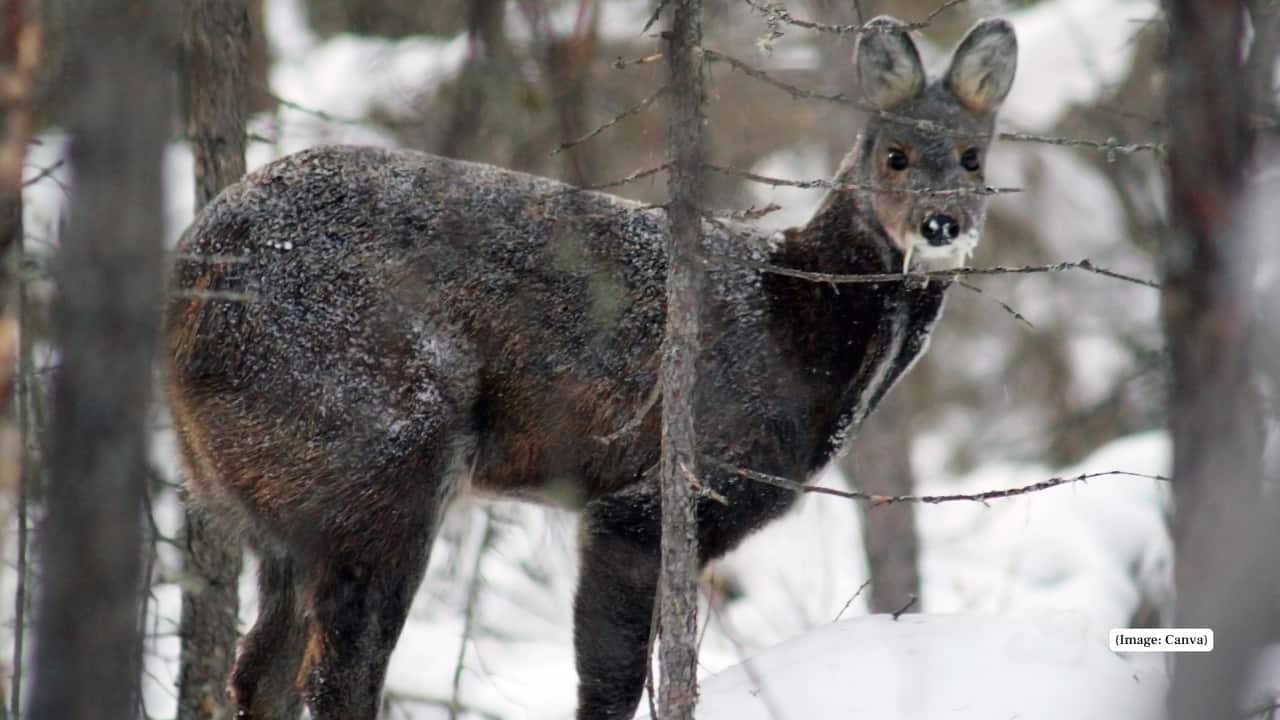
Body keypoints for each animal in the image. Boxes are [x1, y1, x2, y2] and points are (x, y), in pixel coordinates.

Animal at [164, 16, 1017, 720]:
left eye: (974, 157)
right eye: (893, 156)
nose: (942, 225)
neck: (799, 327)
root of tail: (189, 281)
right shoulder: (659, 495)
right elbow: (608, 685)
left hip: (278, 501)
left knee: (259, 674)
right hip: (374, 453)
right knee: (338, 674)